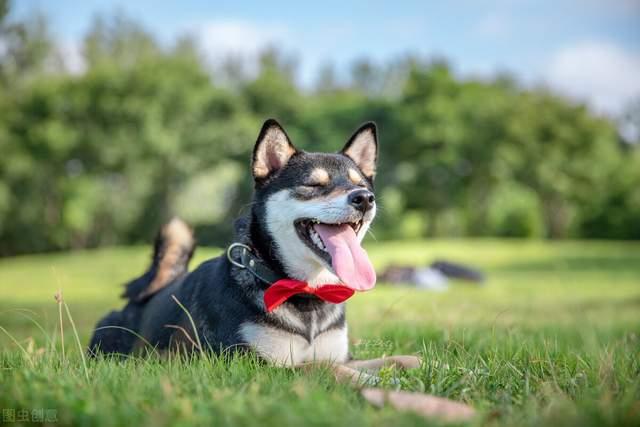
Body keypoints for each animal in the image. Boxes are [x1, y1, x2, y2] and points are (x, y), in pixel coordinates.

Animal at [89, 119, 420, 382]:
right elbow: (325, 368)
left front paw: (420, 366)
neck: (304, 292)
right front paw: (378, 383)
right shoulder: (253, 365)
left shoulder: (340, 355)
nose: (365, 198)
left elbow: (397, 359)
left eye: (361, 183)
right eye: (313, 185)